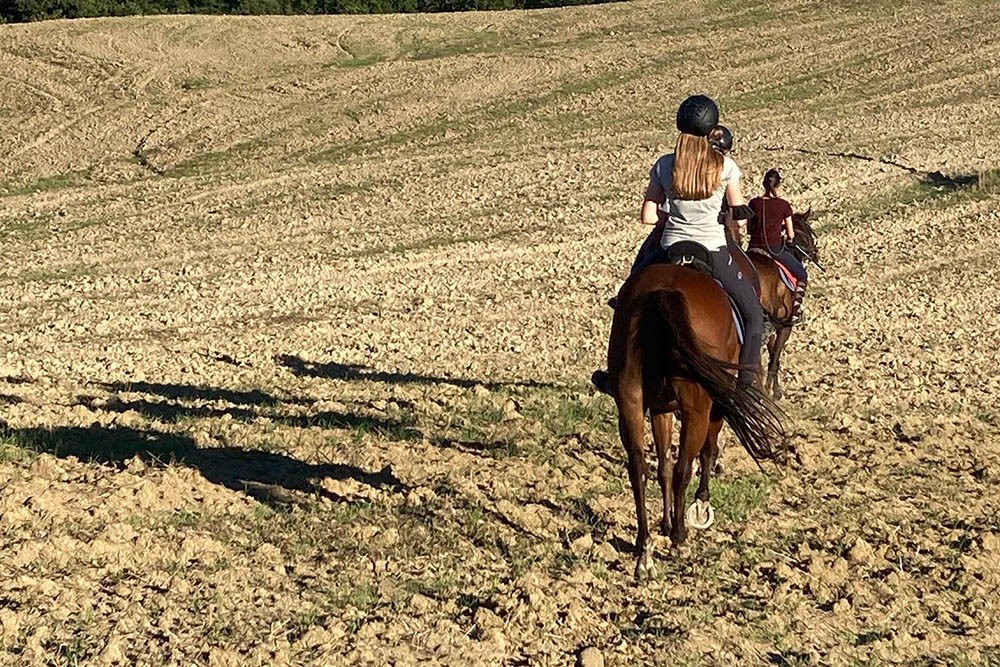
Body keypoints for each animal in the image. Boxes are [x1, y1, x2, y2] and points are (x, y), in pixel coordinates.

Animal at [596, 260, 784, 580]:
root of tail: (664, 292)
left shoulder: (660, 409)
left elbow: (663, 467)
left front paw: (667, 523)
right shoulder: (715, 406)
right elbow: (706, 452)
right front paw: (701, 504)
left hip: (630, 400)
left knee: (639, 468)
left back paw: (645, 552)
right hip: (697, 408)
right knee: (685, 466)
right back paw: (680, 540)